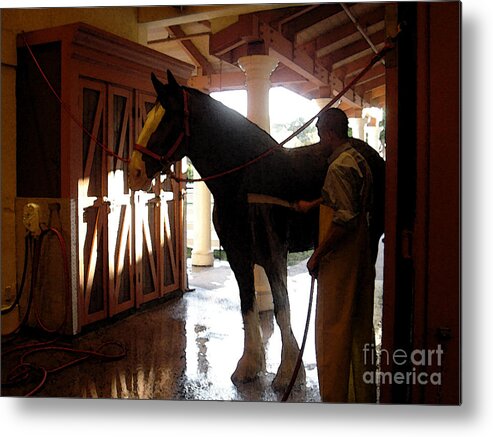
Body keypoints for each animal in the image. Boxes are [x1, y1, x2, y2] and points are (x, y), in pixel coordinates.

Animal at [130, 70, 330, 390]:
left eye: (169, 117)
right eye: (149, 115)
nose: (134, 172)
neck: (245, 180)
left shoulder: (274, 255)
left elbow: (281, 307)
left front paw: (288, 372)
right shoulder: (239, 255)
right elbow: (247, 305)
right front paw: (250, 365)